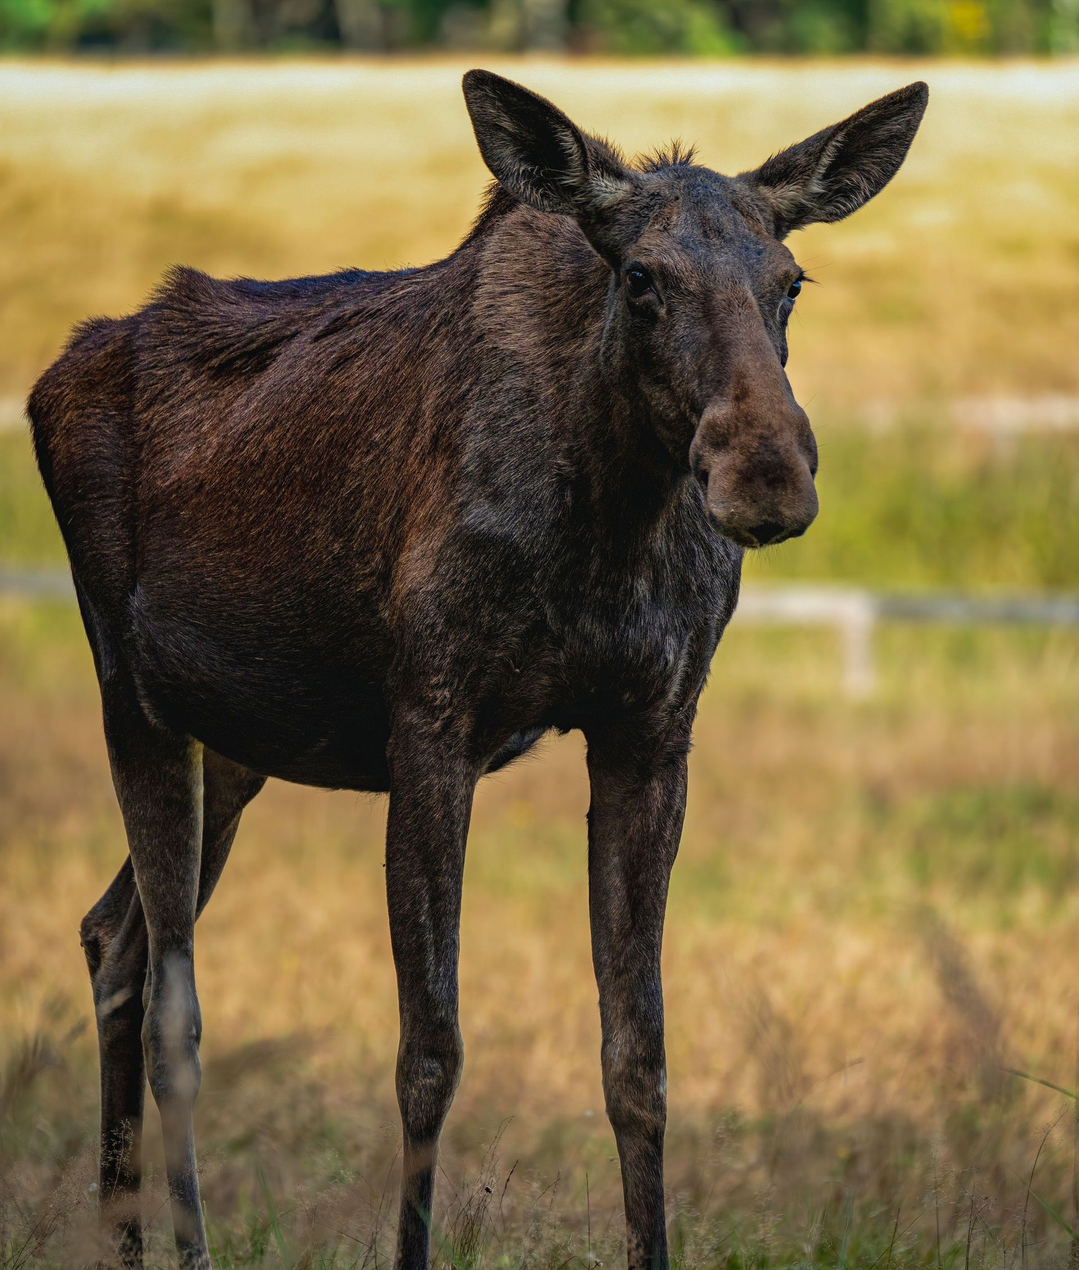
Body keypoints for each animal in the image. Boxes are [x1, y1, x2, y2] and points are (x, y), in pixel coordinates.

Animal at [28, 69, 927, 1270]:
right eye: (640, 277)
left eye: (789, 282)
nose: (766, 471)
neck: (608, 516)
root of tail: (48, 378)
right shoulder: (431, 718)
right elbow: (429, 1052)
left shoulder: (652, 729)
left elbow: (637, 1056)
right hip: (131, 688)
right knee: (175, 994)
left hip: (239, 742)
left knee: (111, 935)